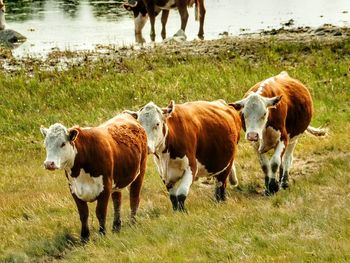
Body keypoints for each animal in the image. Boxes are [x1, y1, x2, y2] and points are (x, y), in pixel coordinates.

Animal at [40, 114, 148, 243]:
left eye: (63, 143)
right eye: (46, 144)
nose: (49, 163)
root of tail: (127, 114)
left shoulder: (105, 187)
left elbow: (100, 212)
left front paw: (102, 234)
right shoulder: (74, 189)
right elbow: (83, 214)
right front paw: (84, 238)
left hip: (140, 171)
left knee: (134, 198)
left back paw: (132, 223)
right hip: (117, 181)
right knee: (117, 201)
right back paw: (116, 227)